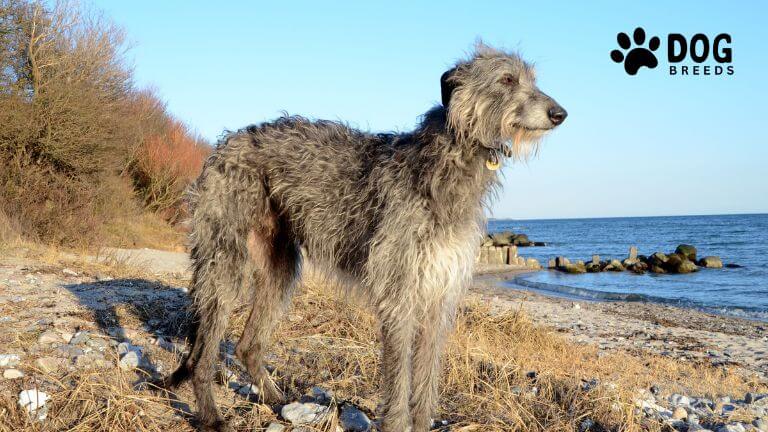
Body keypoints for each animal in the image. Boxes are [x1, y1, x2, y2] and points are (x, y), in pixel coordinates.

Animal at [158, 44, 564, 432]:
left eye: (531, 79)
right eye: (507, 79)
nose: (560, 113)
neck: (447, 160)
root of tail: (224, 146)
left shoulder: (438, 292)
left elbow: (426, 376)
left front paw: (422, 422)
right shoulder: (400, 292)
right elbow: (399, 379)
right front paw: (398, 423)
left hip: (278, 266)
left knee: (247, 346)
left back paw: (276, 399)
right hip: (225, 257)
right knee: (203, 354)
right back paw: (211, 415)